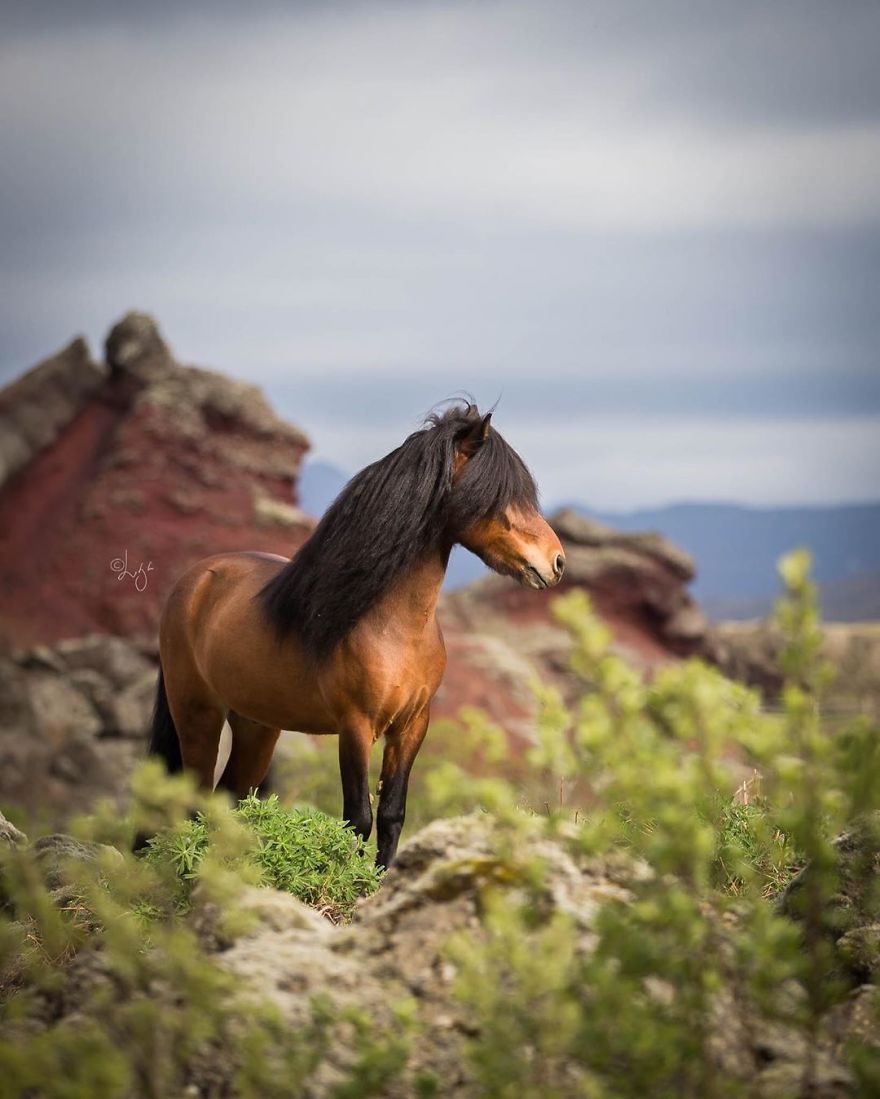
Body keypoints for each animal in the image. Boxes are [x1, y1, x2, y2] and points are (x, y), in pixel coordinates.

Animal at [147, 402, 565, 867]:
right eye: (498, 494)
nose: (556, 562)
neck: (394, 627)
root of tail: (194, 581)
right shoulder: (355, 727)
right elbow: (358, 818)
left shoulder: (412, 727)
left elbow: (392, 815)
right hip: (197, 714)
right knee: (193, 803)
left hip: (256, 726)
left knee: (227, 799)